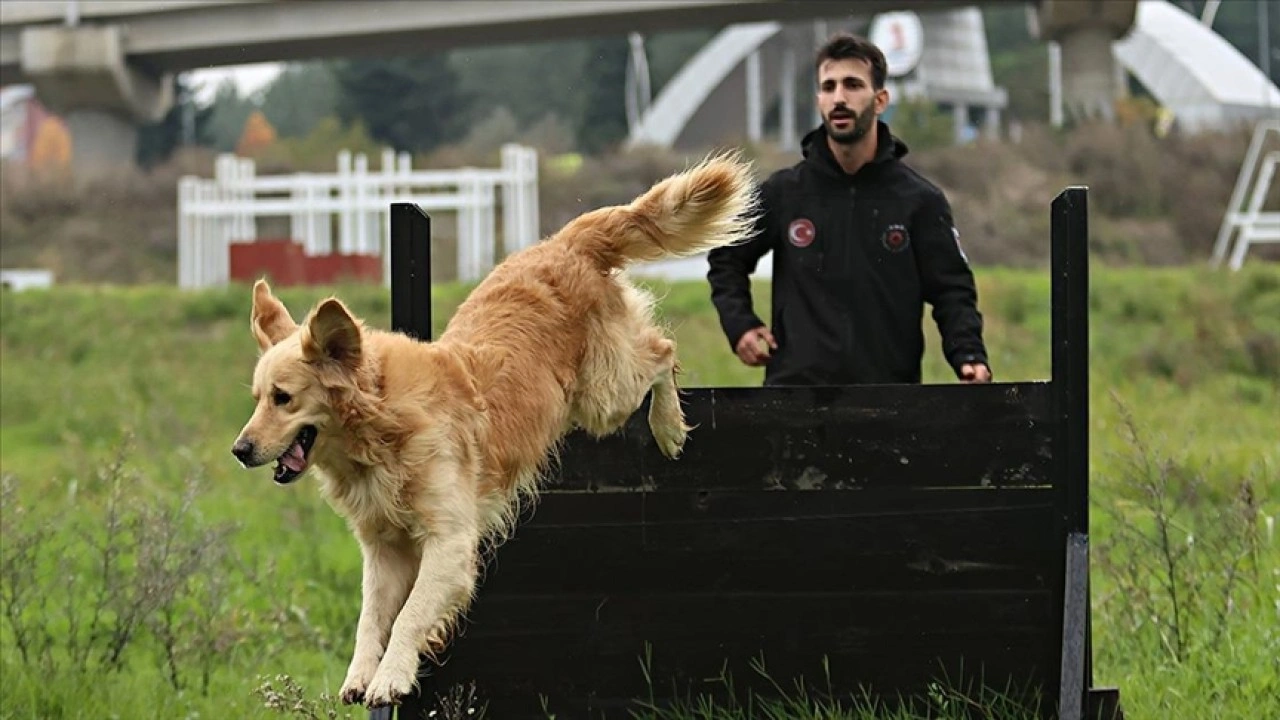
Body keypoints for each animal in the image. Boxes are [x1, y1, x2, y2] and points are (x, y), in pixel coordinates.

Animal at [230, 152, 752, 707]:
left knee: (661, 353)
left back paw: (669, 427)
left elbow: (409, 616)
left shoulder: (449, 541)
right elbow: (371, 617)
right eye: (257, 398)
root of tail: (564, 242)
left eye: (283, 398)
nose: (239, 449)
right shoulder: (384, 548)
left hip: (605, 394)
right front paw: (360, 675)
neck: (381, 430)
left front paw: (391, 676)